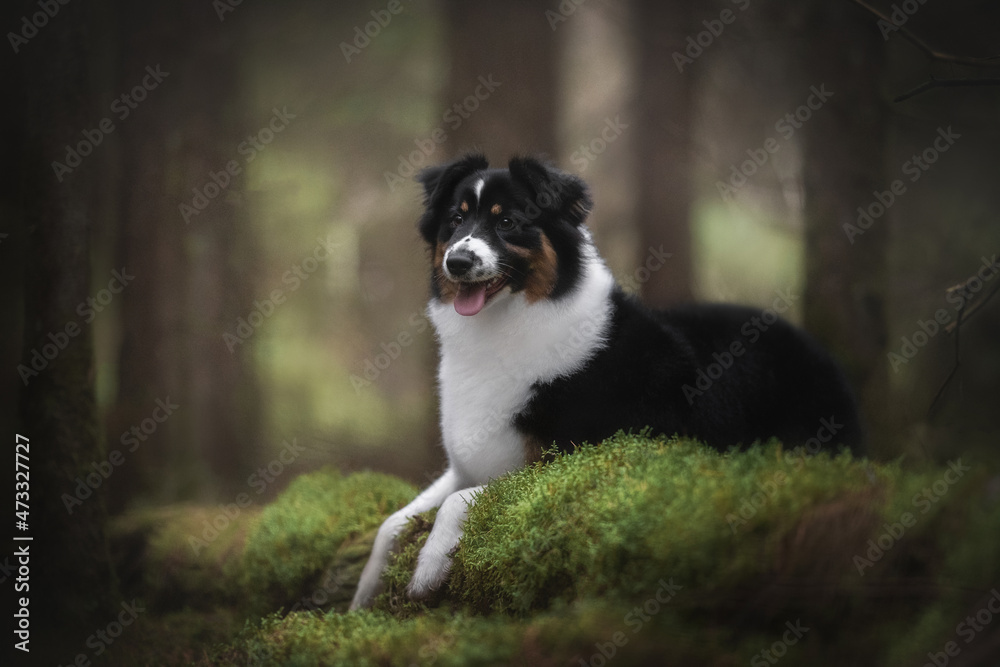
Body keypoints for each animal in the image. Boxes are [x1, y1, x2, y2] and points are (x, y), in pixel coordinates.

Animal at [350, 153, 860, 612]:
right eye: (455, 221)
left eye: (509, 221)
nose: (457, 261)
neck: (506, 324)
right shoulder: (467, 462)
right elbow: (391, 523)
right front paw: (362, 594)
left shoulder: (570, 456)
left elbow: (459, 501)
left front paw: (429, 565)